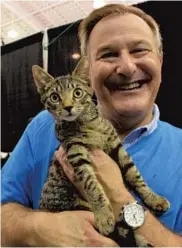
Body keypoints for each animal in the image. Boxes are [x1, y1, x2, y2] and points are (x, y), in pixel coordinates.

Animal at [32, 59, 170, 247]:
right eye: (55, 97)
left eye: (77, 93)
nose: (68, 107)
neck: (86, 123)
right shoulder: (75, 152)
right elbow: (91, 184)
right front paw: (104, 214)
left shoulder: (116, 145)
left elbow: (134, 174)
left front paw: (154, 198)